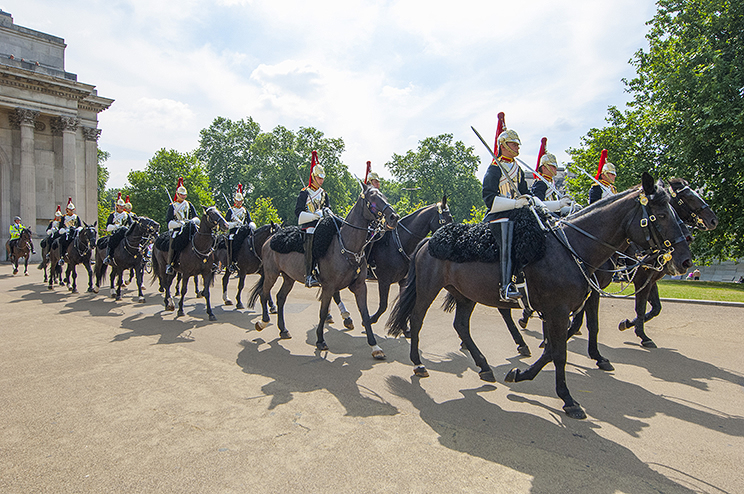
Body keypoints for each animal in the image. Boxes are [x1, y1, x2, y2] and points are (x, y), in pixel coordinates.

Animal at [390, 172, 692, 418]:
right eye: (661, 215)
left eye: (675, 212)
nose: (685, 260)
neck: (572, 248)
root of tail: (429, 240)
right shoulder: (557, 311)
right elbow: (559, 352)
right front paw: (568, 399)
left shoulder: (559, 310)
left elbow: (556, 347)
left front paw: (521, 374)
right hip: (428, 290)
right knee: (417, 319)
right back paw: (418, 363)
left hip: (466, 295)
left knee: (461, 325)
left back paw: (485, 366)